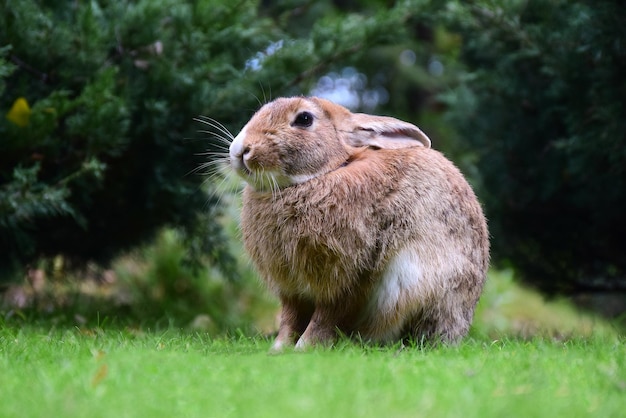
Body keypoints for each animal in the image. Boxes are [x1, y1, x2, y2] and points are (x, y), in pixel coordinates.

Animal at [227, 96, 490, 352]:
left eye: (304, 119)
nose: (240, 149)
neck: (329, 170)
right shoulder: (292, 290)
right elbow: (289, 319)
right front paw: (279, 348)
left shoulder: (348, 278)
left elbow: (325, 317)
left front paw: (305, 347)